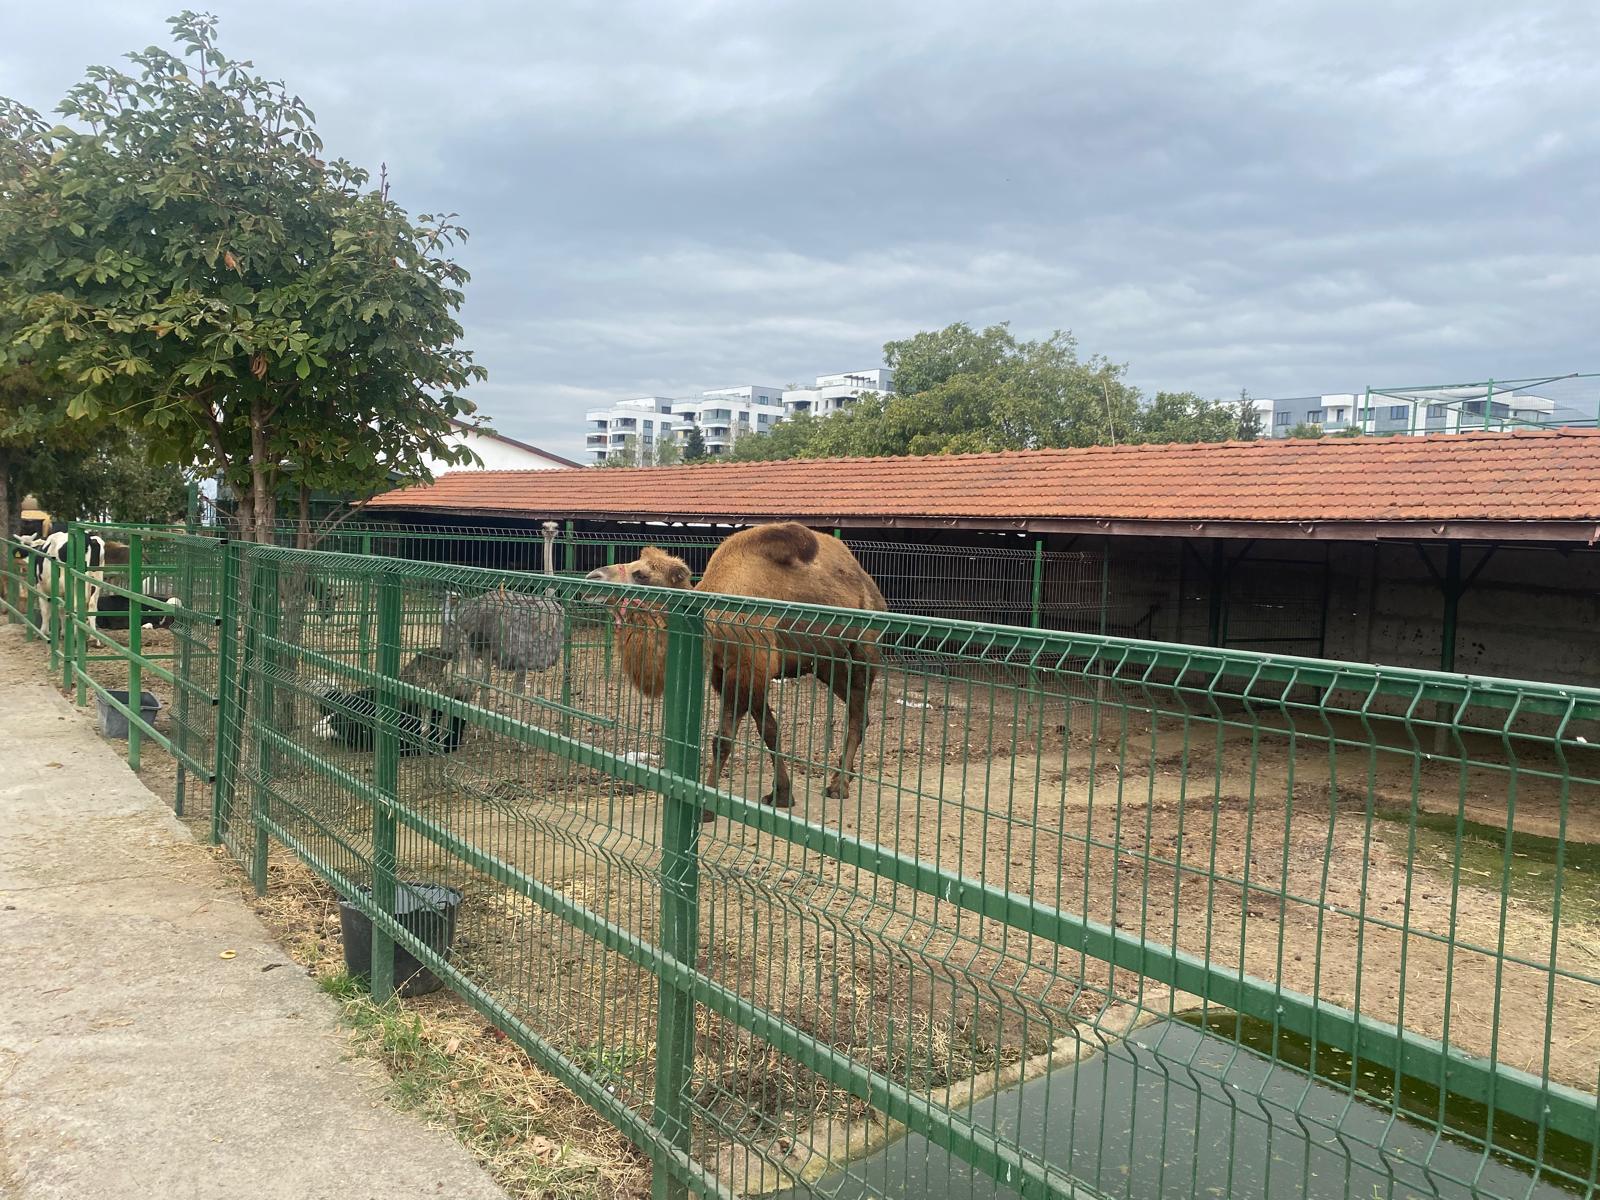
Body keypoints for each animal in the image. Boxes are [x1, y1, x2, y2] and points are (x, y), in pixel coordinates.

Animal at [585, 524, 889, 819]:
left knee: (858, 714)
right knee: (858, 710)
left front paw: (704, 808)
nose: (592, 576)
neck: (712, 622)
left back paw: (839, 786)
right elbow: (769, 730)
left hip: (862, 653)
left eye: (641, 574)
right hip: (827, 663)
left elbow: (722, 739)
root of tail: (874, 591)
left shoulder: (747, 668)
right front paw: (781, 794)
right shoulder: (731, 673)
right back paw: (841, 778)